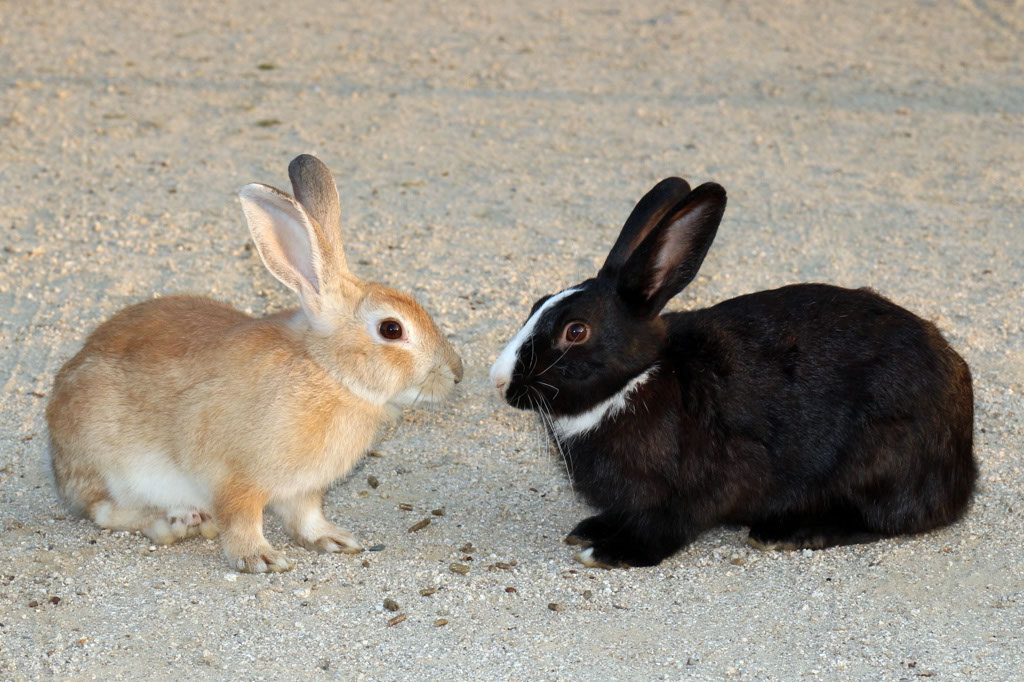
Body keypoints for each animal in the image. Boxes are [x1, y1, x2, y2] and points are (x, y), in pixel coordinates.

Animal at [46, 154, 464, 572]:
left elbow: (307, 517)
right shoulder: (236, 479)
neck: (328, 372)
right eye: (391, 329)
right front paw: (260, 558)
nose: (456, 374)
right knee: (105, 511)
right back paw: (177, 521)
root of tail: (59, 459)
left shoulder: (304, 489)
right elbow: (242, 518)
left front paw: (333, 540)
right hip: (110, 463)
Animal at [489, 178, 976, 569]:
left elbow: (669, 524)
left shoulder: (701, 485)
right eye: (537, 303)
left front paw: (613, 553)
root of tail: (963, 463)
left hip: (881, 458)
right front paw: (590, 530)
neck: (636, 380)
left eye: (575, 330)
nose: (499, 381)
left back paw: (788, 533)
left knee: (886, 519)